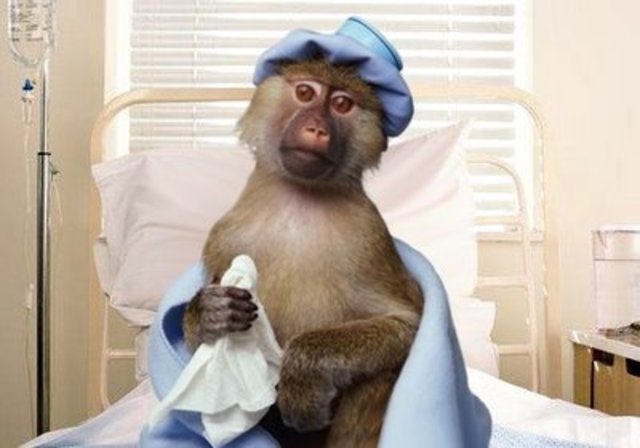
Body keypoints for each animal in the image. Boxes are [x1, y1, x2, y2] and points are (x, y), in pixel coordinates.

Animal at [182, 58, 423, 448]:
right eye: (306, 92)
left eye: (342, 104)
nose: (316, 128)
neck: (300, 197)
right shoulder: (226, 236)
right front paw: (209, 312)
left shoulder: (367, 236)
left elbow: (405, 326)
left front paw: (302, 374)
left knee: (378, 376)